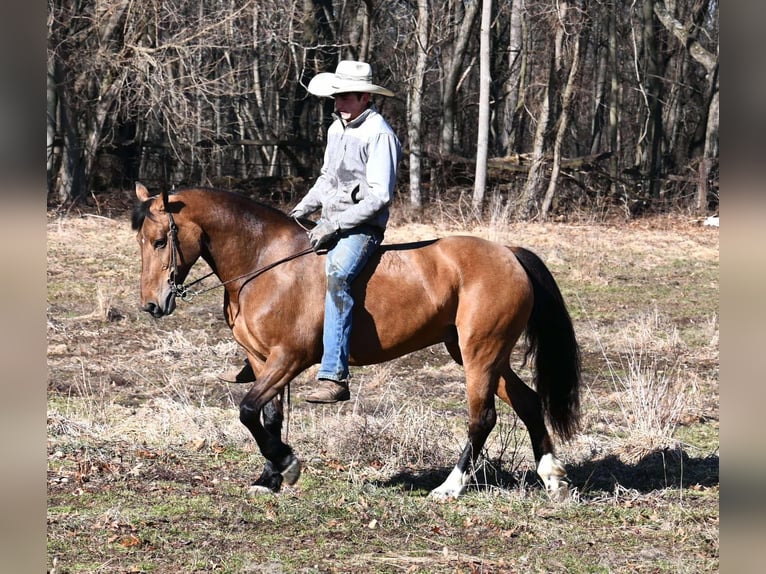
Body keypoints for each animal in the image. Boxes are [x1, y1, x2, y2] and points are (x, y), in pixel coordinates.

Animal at [132, 183, 584, 500]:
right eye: (141, 242)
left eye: (160, 241)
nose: (152, 304)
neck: (264, 264)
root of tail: (509, 253)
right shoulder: (261, 361)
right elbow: (267, 417)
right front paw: (269, 477)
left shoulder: (288, 358)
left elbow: (247, 411)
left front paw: (287, 464)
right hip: (484, 355)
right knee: (527, 402)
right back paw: (553, 479)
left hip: (480, 353)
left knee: (482, 418)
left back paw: (450, 487)